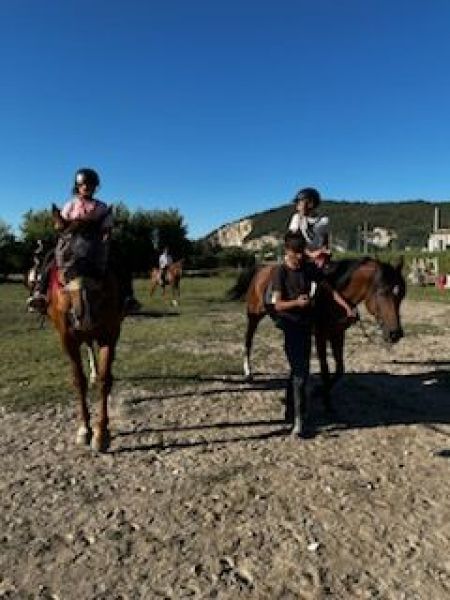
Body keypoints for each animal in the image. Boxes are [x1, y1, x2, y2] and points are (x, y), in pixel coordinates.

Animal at [45, 205, 123, 450]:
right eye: (62, 247)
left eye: (100, 250)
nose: (84, 312)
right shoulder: (67, 339)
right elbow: (78, 381)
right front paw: (84, 429)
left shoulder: (110, 335)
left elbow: (105, 380)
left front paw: (101, 433)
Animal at [230, 255, 406, 406]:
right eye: (382, 293)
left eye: (402, 295)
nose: (395, 334)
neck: (334, 297)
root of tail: (262, 268)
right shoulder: (321, 336)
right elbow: (325, 370)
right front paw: (325, 400)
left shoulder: (337, 334)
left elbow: (340, 369)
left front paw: (320, 391)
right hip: (254, 315)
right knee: (248, 340)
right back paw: (248, 373)